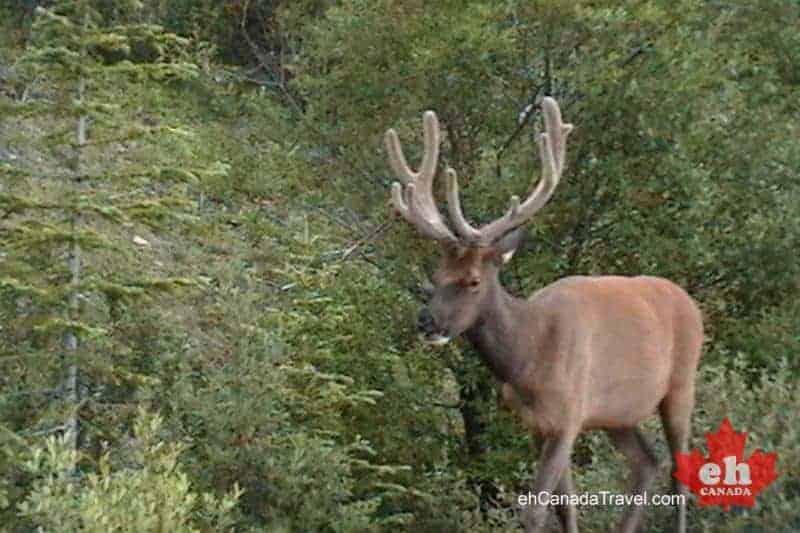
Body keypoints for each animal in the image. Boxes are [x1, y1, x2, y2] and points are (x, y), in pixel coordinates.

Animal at [384, 97, 704, 528]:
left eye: (472, 280)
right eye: (437, 274)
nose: (426, 322)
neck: (528, 358)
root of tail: (689, 301)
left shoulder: (568, 416)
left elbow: (536, 508)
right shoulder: (540, 423)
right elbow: (564, 504)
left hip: (681, 384)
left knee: (679, 475)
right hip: (618, 412)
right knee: (647, 462)